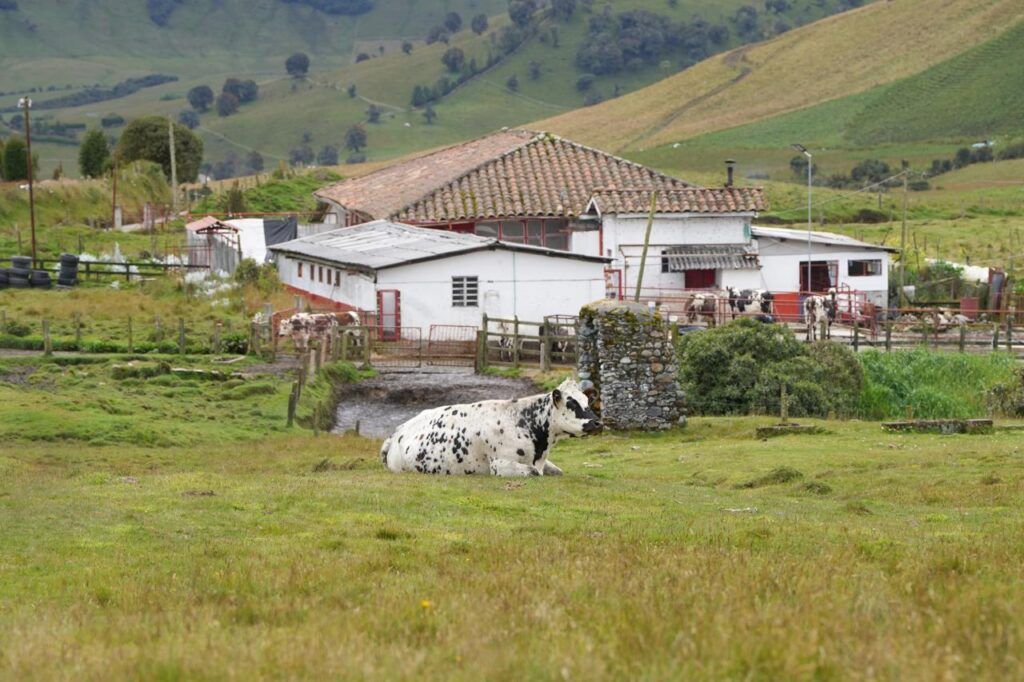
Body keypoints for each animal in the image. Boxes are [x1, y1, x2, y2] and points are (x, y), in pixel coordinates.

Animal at [385, 376, 598, 477]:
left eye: (587, 401)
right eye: (572, 403)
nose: (598, 423)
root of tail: (398, 431)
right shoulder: (499, 464)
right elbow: (533, 472)